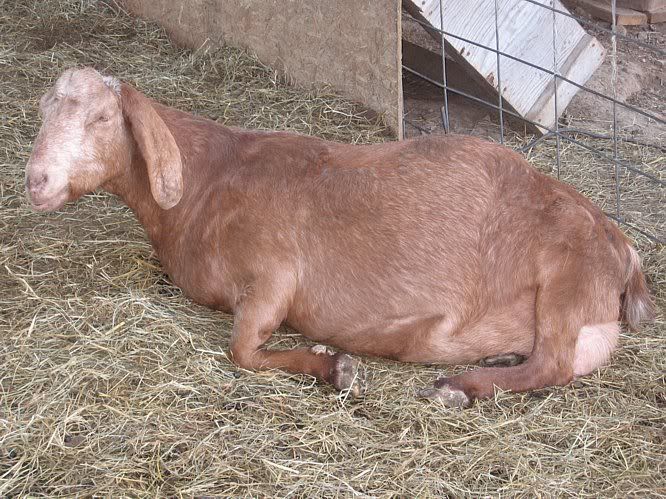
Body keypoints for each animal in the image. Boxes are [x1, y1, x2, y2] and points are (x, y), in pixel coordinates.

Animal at [25, 67, 655, 407]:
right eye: (43, 111)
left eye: (103, 119)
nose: (37, 180)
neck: (210, 177)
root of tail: (620, 242)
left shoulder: (274, 272)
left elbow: (242, 350)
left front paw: (337, 367)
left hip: (566, 285)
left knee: (553, 366)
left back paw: (458, 385)